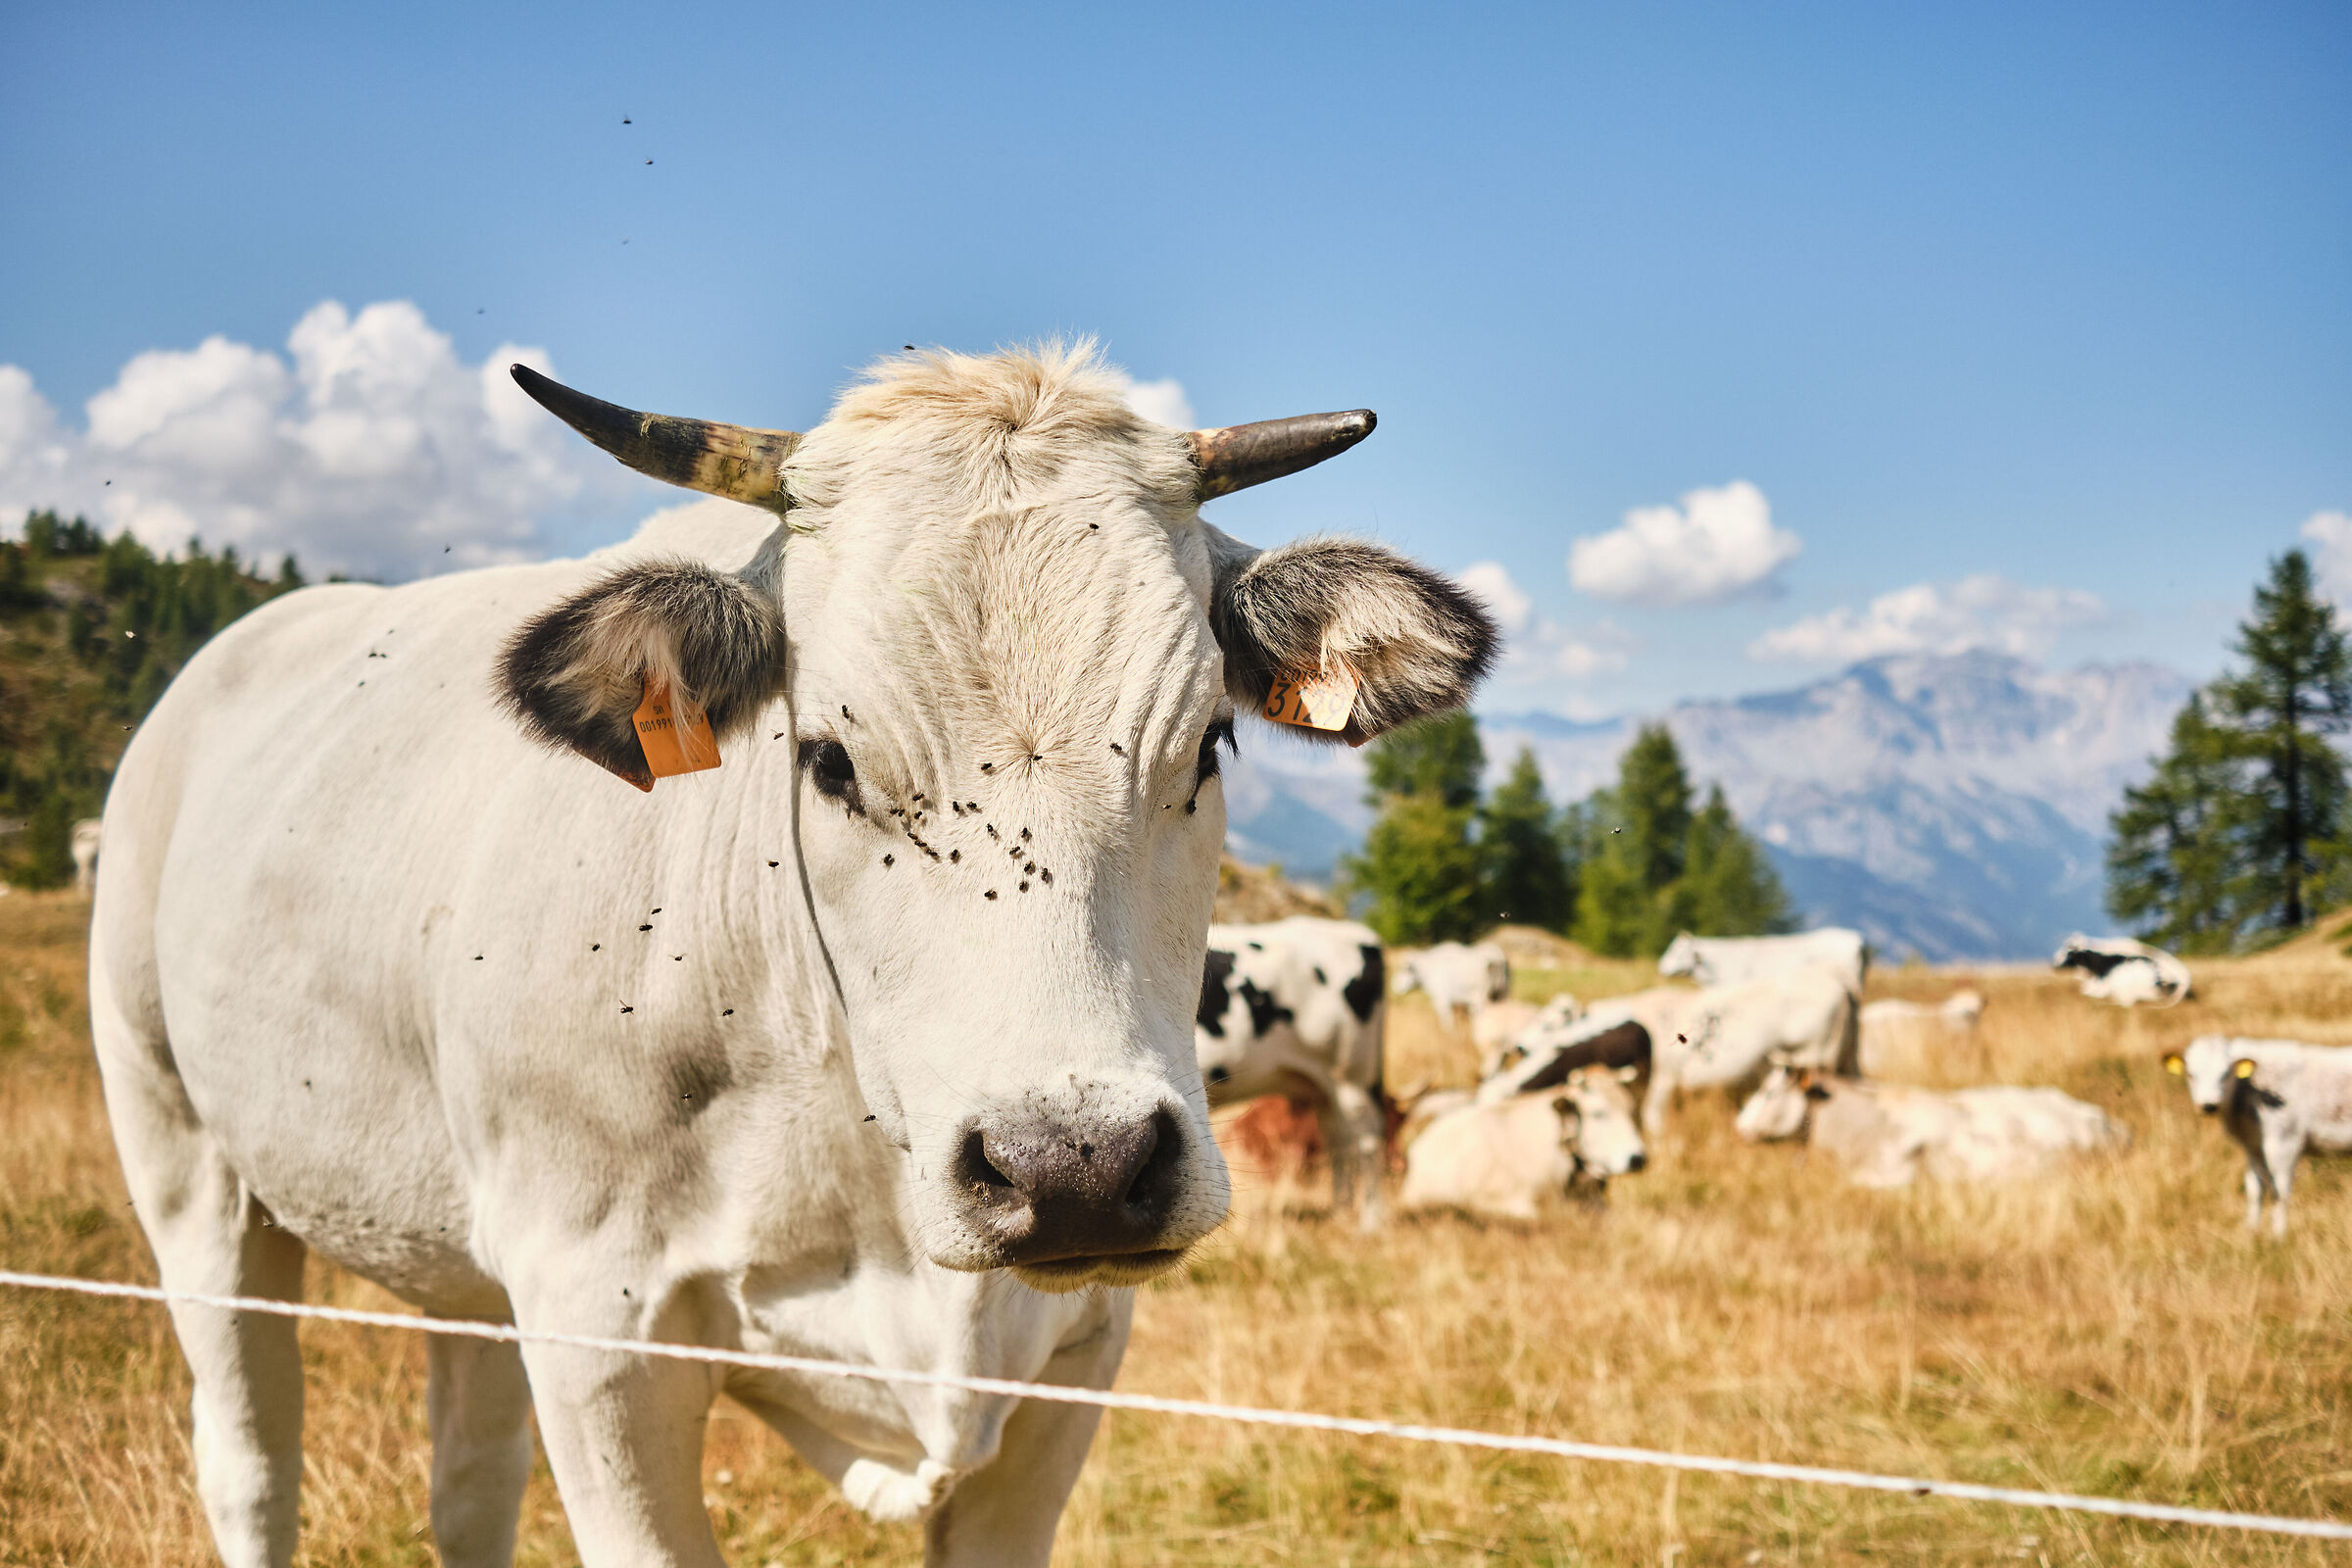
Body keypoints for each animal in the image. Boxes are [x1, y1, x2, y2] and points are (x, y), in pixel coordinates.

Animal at [1195, 917, 1388, 1227]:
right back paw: (1340, 1211)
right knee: (1339, 1139)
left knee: (1367, 1141)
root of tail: (1356, 934)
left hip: (1353, 1076)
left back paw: (1370, 1222)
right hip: (1325, 1087)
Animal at [2166, 1035, 2352, 1236]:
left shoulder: (2286, 1143)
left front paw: (2278, 1236)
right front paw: (2251, 1230)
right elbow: (2255, 1190)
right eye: (2191, 1074)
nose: (2209, 1105)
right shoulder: (2253, 1148)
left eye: (2225, 1074)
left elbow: (2279, 1193)